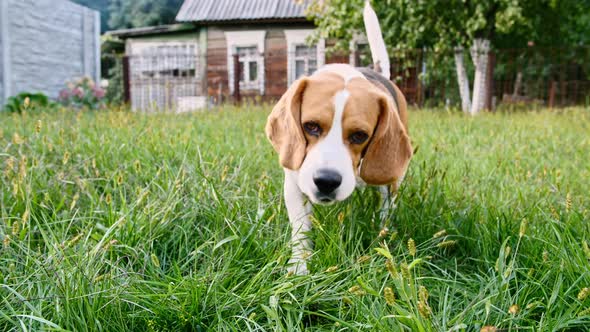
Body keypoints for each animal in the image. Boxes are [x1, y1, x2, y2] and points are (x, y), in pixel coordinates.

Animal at [266, 0, 414, 274]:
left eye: (360, 135)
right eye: (311, 126)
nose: (326, 181)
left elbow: (386, 210)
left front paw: (383, 240)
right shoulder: (294, 182)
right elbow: (301, 230)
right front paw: (299, 266)